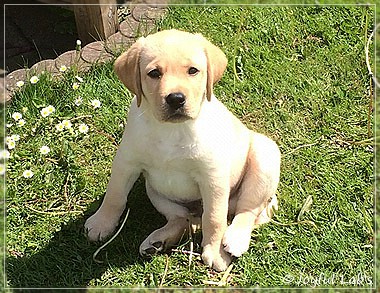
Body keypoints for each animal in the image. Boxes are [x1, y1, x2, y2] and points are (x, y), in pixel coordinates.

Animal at [87, 28, 282, 270]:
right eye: (154, 73)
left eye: (193, 71)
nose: (176, 99)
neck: (171, 130)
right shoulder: (126, 162)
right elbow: (114, 195)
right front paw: (102, 222)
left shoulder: (212, 177)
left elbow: (214, 218)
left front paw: (215, 252)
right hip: (156, 190)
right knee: (183, 220)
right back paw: (158, 241)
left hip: (265, 157)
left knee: (246, 211)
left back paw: (235, 238)